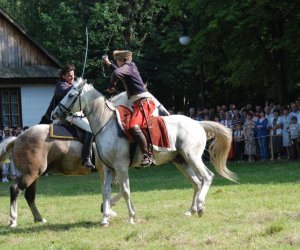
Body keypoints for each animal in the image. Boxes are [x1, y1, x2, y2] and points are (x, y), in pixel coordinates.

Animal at [54, 78, 237, 227]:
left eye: (70, 95)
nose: (55, 113)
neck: (106, 124)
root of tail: (198, 123)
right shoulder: (108, 168)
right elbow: (106, 191)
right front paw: (105, 218)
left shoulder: (121, 167)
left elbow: (125, 191)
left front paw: (131, 217)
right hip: (181, 161)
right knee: (197, 182)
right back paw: (190, 210)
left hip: (192, 158)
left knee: (207, 177)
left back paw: (199, 207)